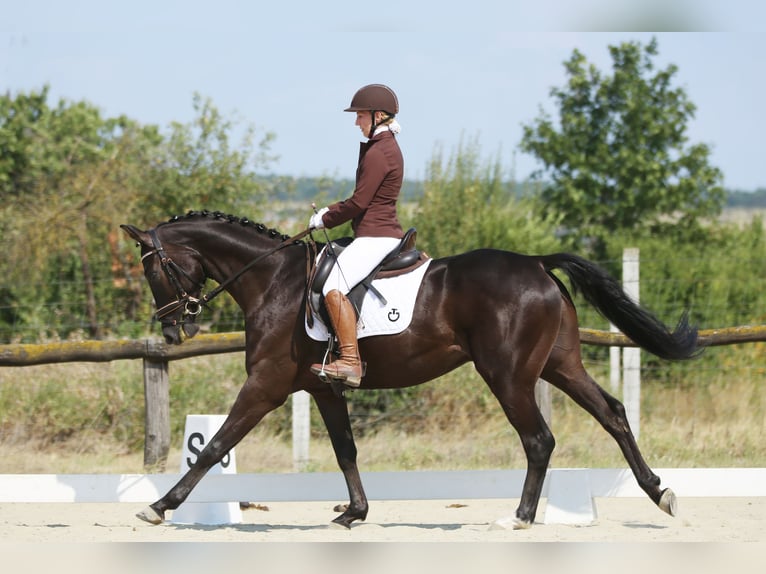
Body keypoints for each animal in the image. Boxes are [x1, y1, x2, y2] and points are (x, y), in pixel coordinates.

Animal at [121, 210, 704, 532]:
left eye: (154, 270)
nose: (173, 331)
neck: (274, 281)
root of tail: (537, 262)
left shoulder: (267, 384)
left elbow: (215, 446)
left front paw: (159, 506)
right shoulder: (324, 388)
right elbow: (346, 450)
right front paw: (354, 512)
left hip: (508, 374)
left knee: (539, 439)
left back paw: (519, 517)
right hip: (560, 365)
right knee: (613, 413)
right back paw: (661, 494)